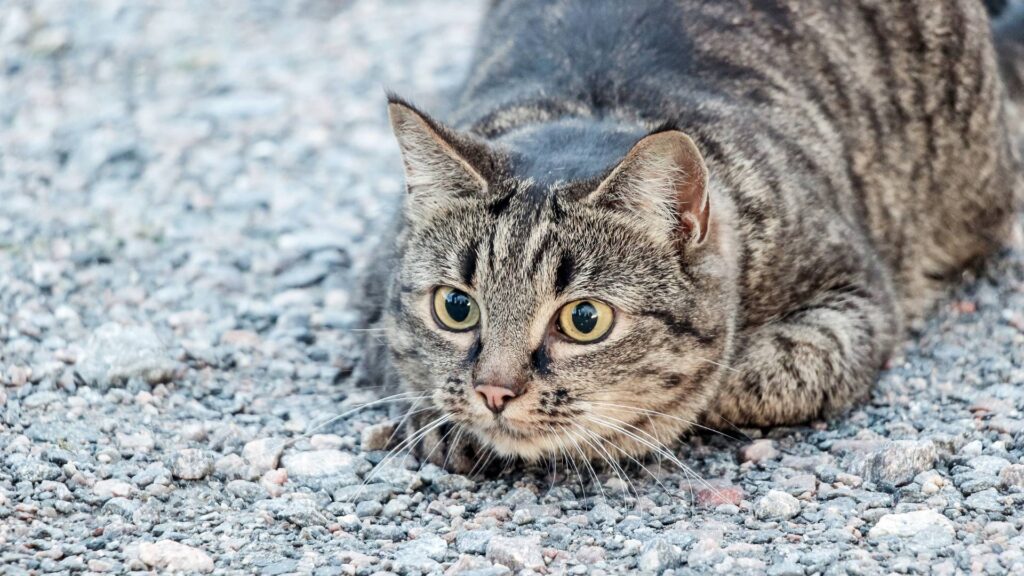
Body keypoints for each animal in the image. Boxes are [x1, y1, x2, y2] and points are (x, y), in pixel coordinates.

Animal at [356, 0, 1019, 473]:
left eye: (584, 320)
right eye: (456, 307)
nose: (494, 391)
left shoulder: (857, 296)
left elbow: (753, 372)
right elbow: (393, 351)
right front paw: (438, 417)